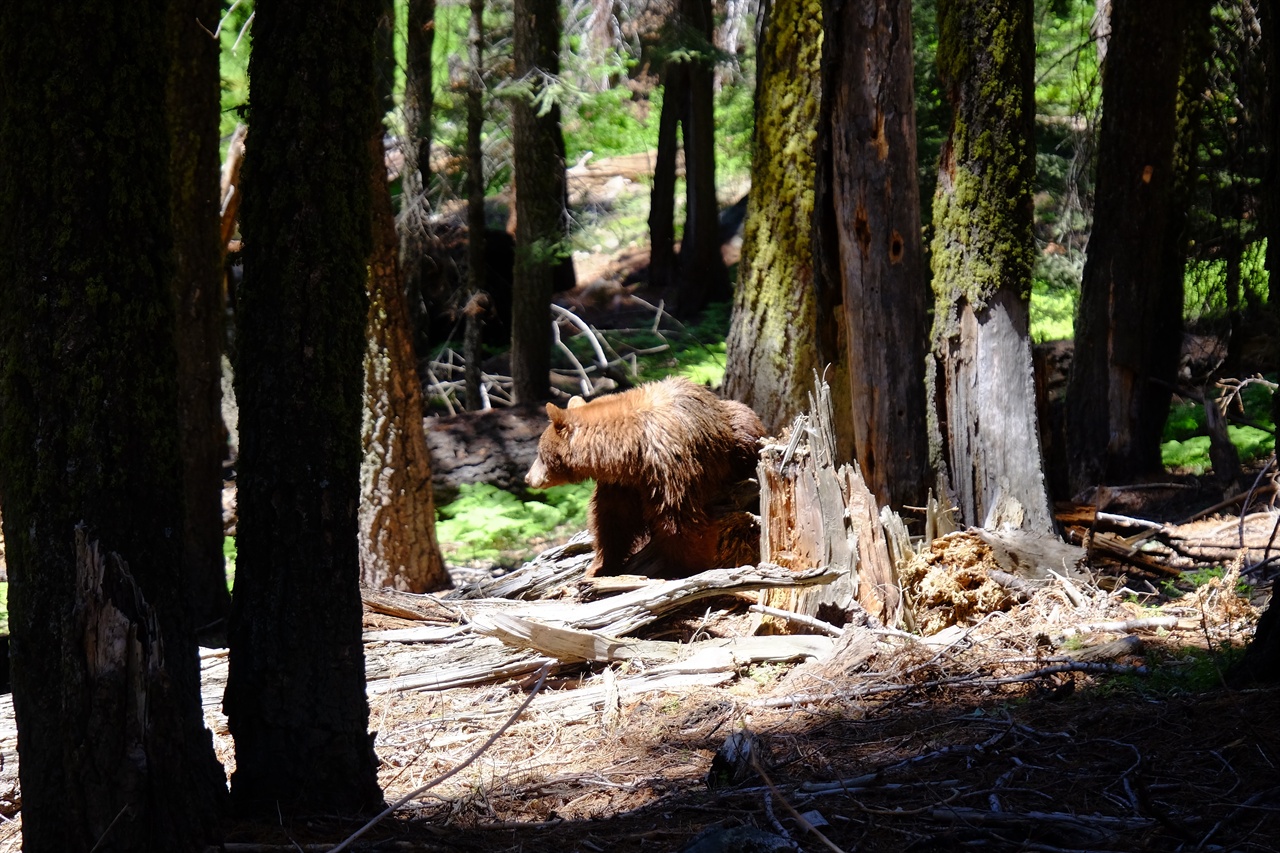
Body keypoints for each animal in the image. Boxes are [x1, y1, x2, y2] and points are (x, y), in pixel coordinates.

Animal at [524, 376, 762, 578]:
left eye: (540, 453)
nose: (528, 478)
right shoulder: (621, 483)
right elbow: (612, 520)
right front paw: (600, 566)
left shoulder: (669, 467)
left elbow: (679, 520)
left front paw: (684, 567)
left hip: (736, 435)